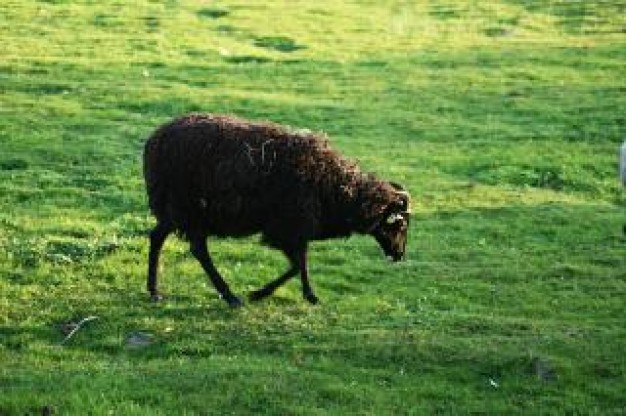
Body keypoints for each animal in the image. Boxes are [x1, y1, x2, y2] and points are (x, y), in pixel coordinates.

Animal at [144, 113, 412, 306]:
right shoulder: (286, 228)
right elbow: (297, 265)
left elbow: (301, 262)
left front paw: (309, 295)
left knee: (158, 237)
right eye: (400, 224)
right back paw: (230, 296)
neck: (335, 186)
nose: (399, 255)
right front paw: (261, 293)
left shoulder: (298, 229)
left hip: (175, 209)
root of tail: (153, 141)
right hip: (188, 208)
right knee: (199, 249)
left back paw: (154, 290)